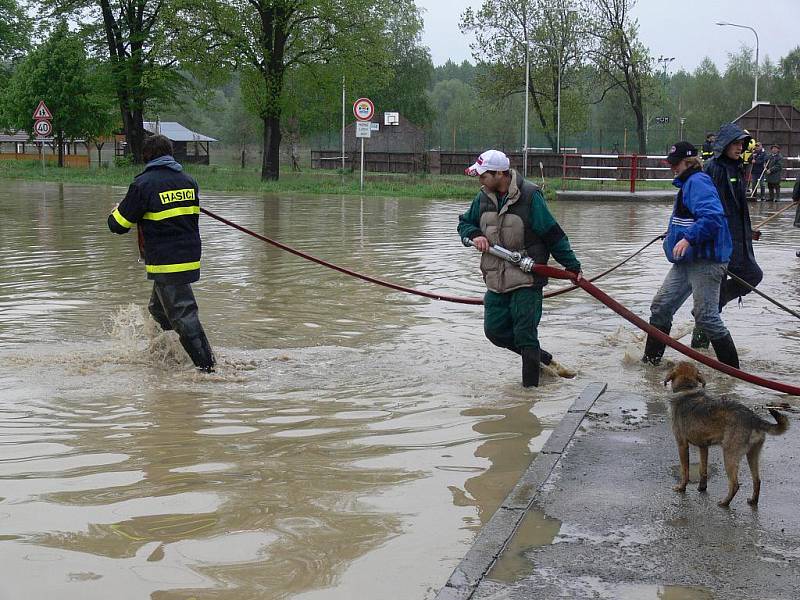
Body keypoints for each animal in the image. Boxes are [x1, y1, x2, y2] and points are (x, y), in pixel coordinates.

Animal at [664, 360, 788, 506]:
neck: (687, 389)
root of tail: (754, 418)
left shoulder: (682, 445)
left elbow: (685, 470)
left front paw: (681, 487)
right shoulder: (703, 446)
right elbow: (702, 469)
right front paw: (702, 487)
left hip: (729, 455)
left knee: (735, 484)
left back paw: (725, 502)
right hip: (752, 454)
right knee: (757, 480)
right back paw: (753, 500)